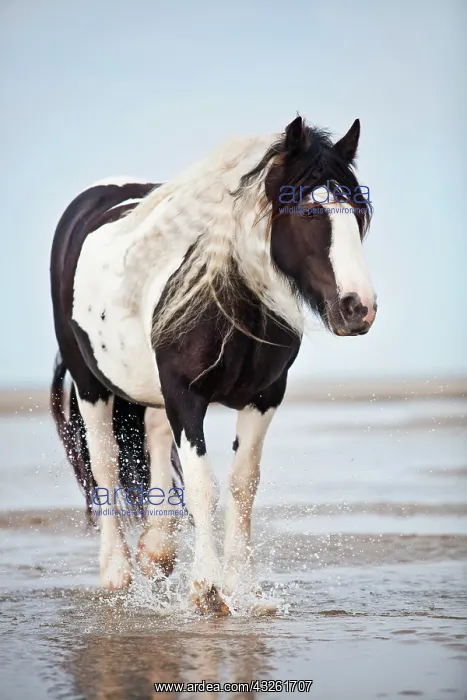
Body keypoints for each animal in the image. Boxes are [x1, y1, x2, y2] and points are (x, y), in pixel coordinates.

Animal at [49, 115, 377, 614]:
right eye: (308, 212)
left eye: (358, 213)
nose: (359, 308)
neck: (227, 300)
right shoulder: (186, 395)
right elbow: (204, 485)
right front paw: (206, 588)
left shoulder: (264, 397)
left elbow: (243, 485)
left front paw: (245, 589)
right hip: (91, 383)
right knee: (105, 462)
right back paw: (117, 572)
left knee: (155, 436)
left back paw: (158, 551)